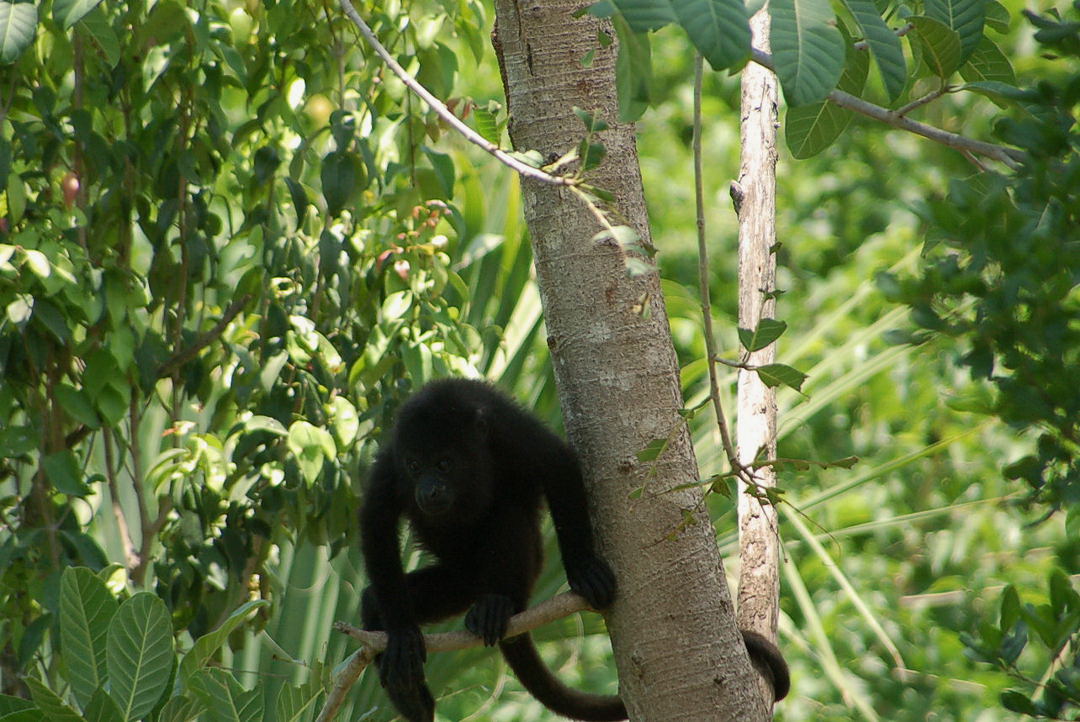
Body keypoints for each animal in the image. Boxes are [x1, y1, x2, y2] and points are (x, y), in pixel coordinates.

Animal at [358, 379, 790, 716]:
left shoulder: (505, 429)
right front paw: (400, 633)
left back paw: (498, 603)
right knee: (372, 599)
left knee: (507, 514)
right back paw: (408, 689)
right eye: (415, 465)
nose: (428, 490)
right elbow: (375, 523)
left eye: (444, 463)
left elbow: (557, 464)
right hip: (456, 585)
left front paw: (582, 567)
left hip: (519, 567)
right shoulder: (391, 464)